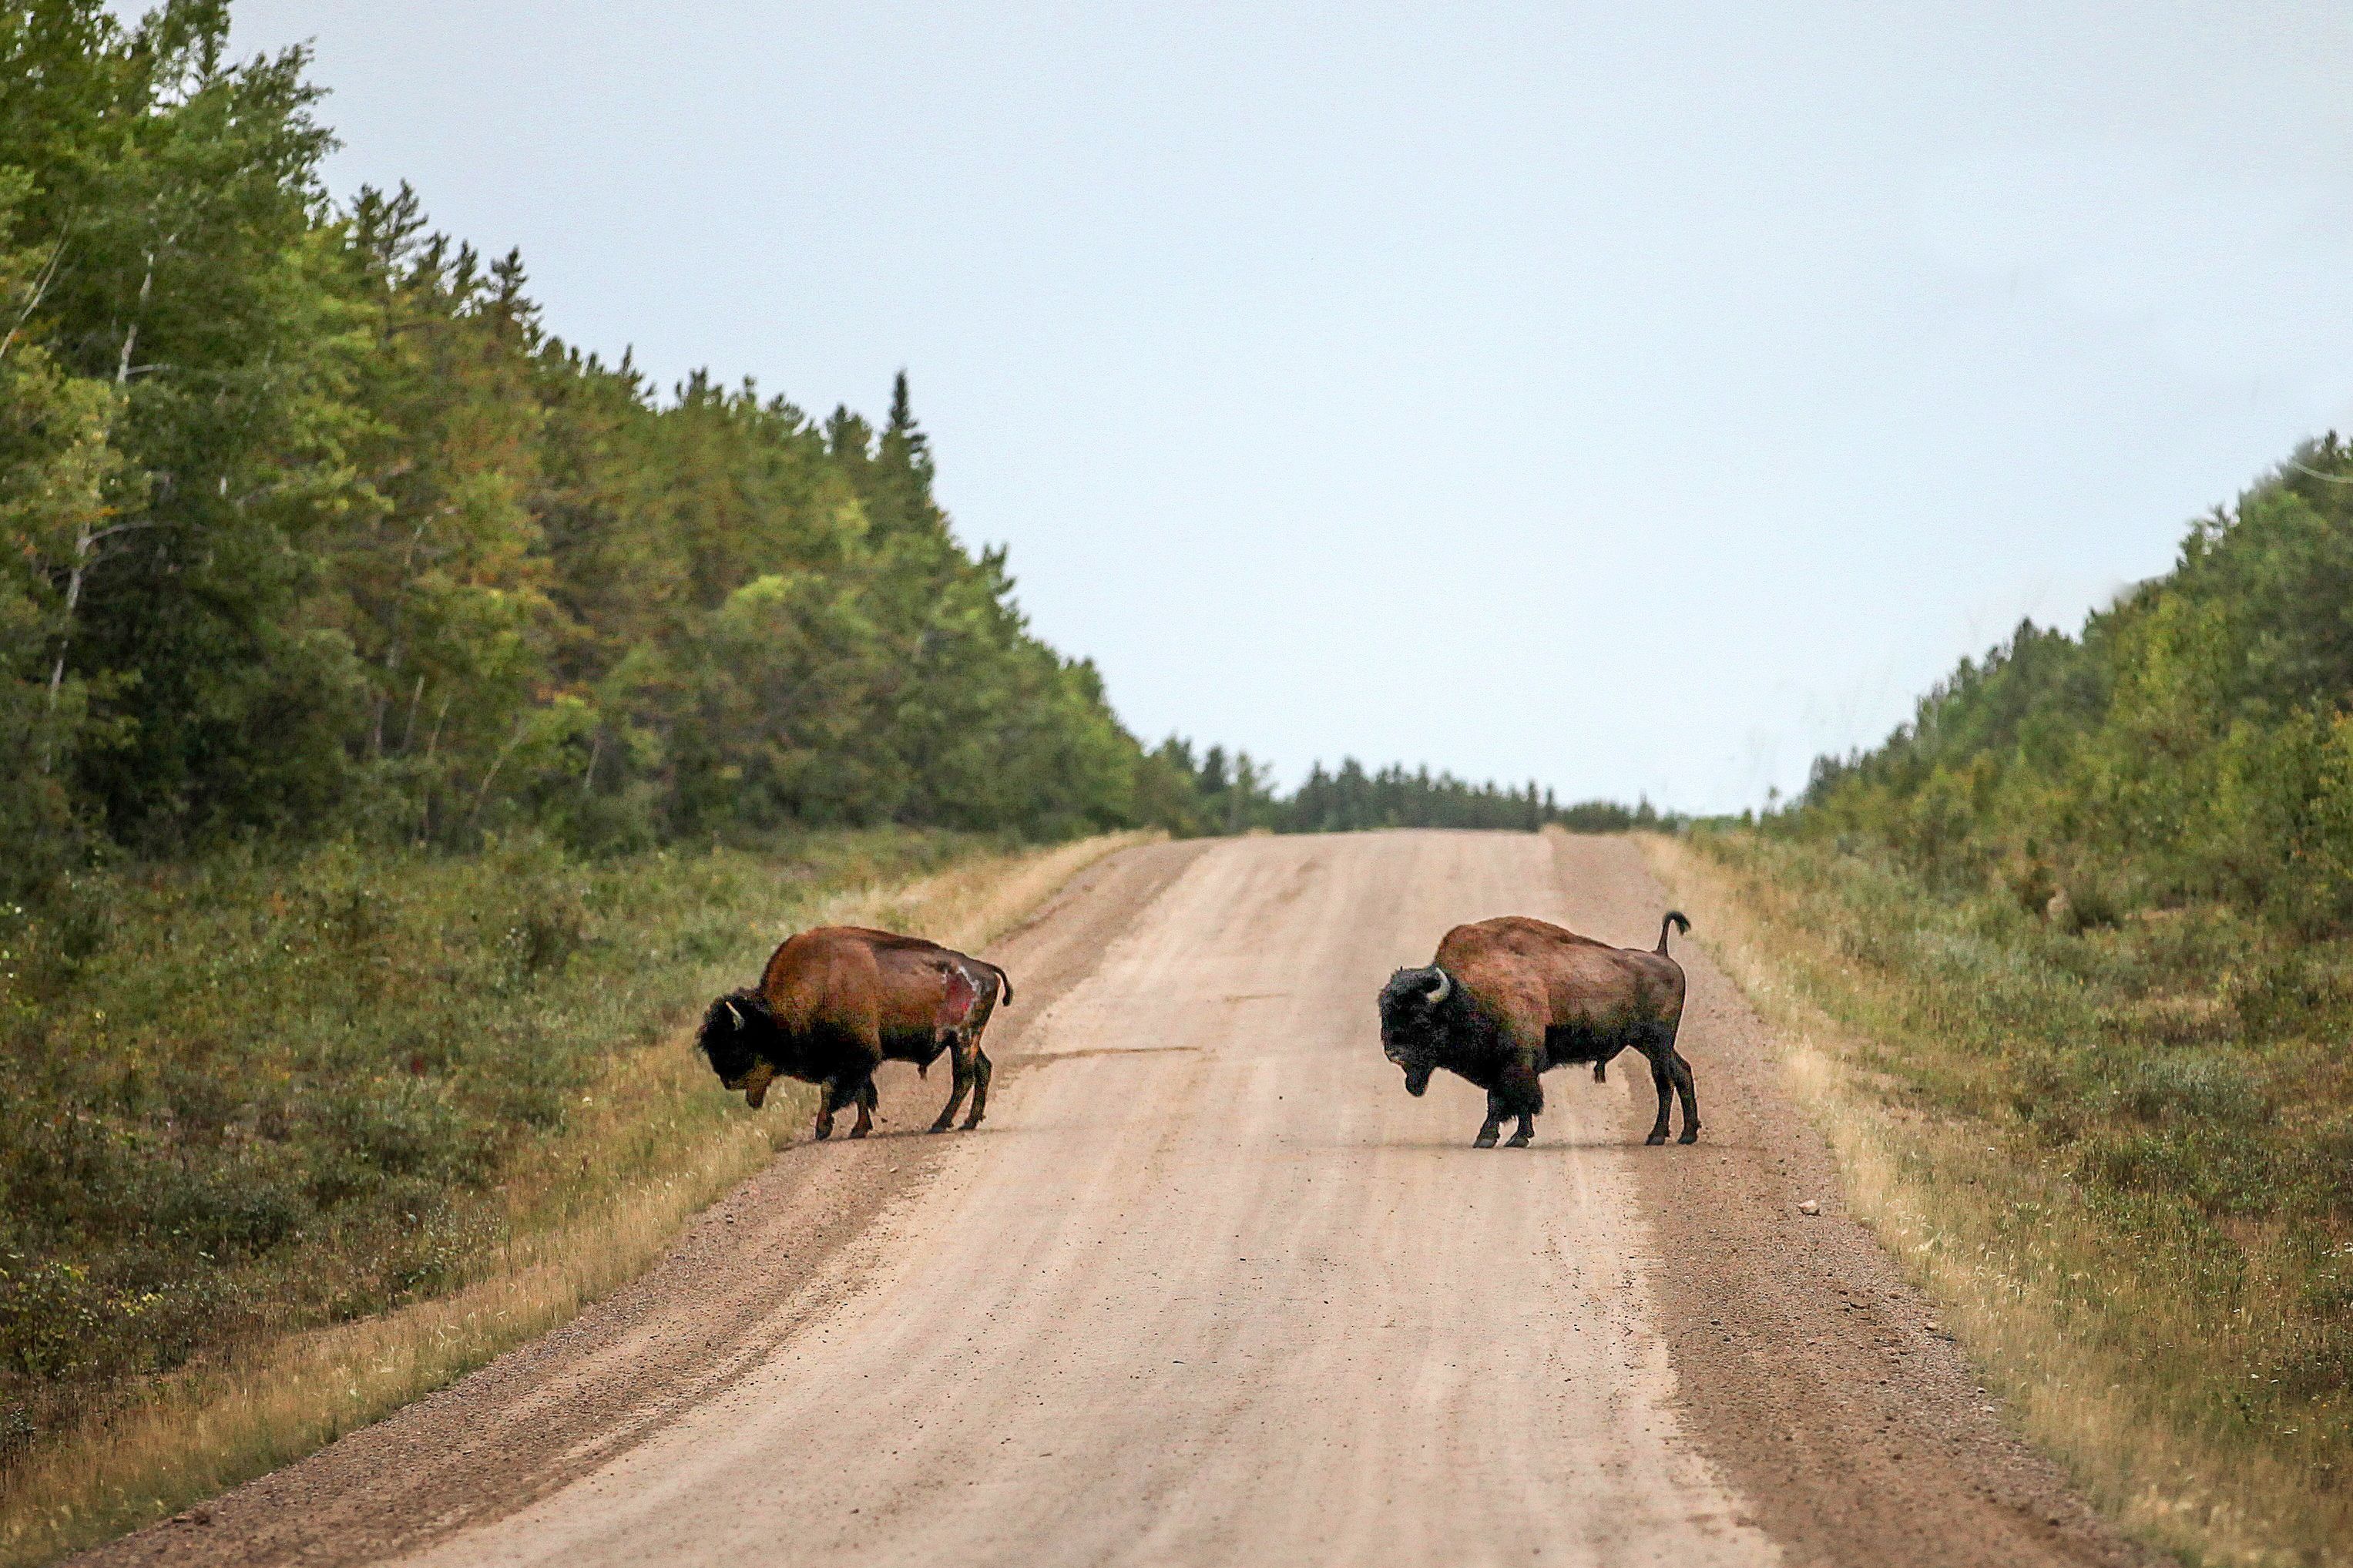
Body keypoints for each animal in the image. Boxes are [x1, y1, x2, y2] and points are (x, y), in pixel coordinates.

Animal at [697, 925, 1012, 1139]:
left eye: (736, 1045)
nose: (728, 1081)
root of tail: (986, 970)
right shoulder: (854, 1060)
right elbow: (861, 1092)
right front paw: (858, 1129)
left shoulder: (854, 1057)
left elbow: (832, 1089)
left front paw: (823, 1129)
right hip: (965, 1042)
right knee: (982, 1069)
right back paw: (968, 1121)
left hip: (962, 1040)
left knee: (963, 1078)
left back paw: (939, 1124)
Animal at [1378, 912, 1699, 1148]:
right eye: (1384, 1015)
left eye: (1421, 1020)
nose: (1394, 1054)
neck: (1465, 993)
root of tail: (1662, 955)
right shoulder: (1506, 1065)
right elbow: (1515, 1101)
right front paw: (1514, 1137)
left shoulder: (1514, 1062)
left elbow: (1508, 1100)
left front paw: (1494, 1138)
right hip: (1650, 1043)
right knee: (1681, 1071)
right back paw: (1687, 1135)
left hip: (1656, 1043)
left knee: (1664, 1081)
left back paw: (1657, 1136)